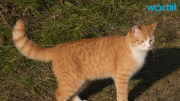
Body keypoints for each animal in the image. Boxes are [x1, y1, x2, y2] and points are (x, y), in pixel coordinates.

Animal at [12, 19, 157, 101]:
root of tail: (58, 47)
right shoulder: (121, 77)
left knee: (72, 95)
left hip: (79, 80)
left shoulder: (119, 78)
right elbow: (123, 95)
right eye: (141, 41)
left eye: (151, 40)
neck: (134, 51)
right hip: (71, 81)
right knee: (59, 94)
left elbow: (119, 95)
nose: (149, 46)